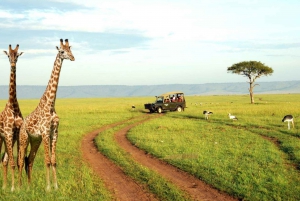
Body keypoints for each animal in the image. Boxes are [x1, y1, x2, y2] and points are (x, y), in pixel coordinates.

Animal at [18, 38, 75, 191]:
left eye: (70, 49)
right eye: (62, 51)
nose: (73, 58)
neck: (50, 104)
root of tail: (21, 125)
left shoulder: (54, 132)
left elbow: (54, 161)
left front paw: (56, 186)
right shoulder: (44, 133)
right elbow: (47, 160)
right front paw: (48, 188)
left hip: (35, 141)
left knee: (29, 160)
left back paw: (29, 187)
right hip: (24, 139)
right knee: (21, 160)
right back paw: (18, 187)